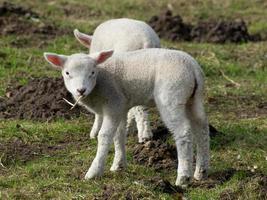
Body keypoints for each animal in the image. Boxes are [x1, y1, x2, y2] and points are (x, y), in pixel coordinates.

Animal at [44, 47, 210, 187]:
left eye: (92, 72)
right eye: (67, 73)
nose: (81, 90)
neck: (100, 80)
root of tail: (193, 68)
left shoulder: (113, 103)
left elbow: (104, 136)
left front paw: (94, 171)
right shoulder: (120, 107)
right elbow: (119, 135)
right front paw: (118, 165)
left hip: (171, 95)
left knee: (183, 133)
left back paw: (183, 177)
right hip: (194, 98)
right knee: (201, 128)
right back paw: (201, 171)